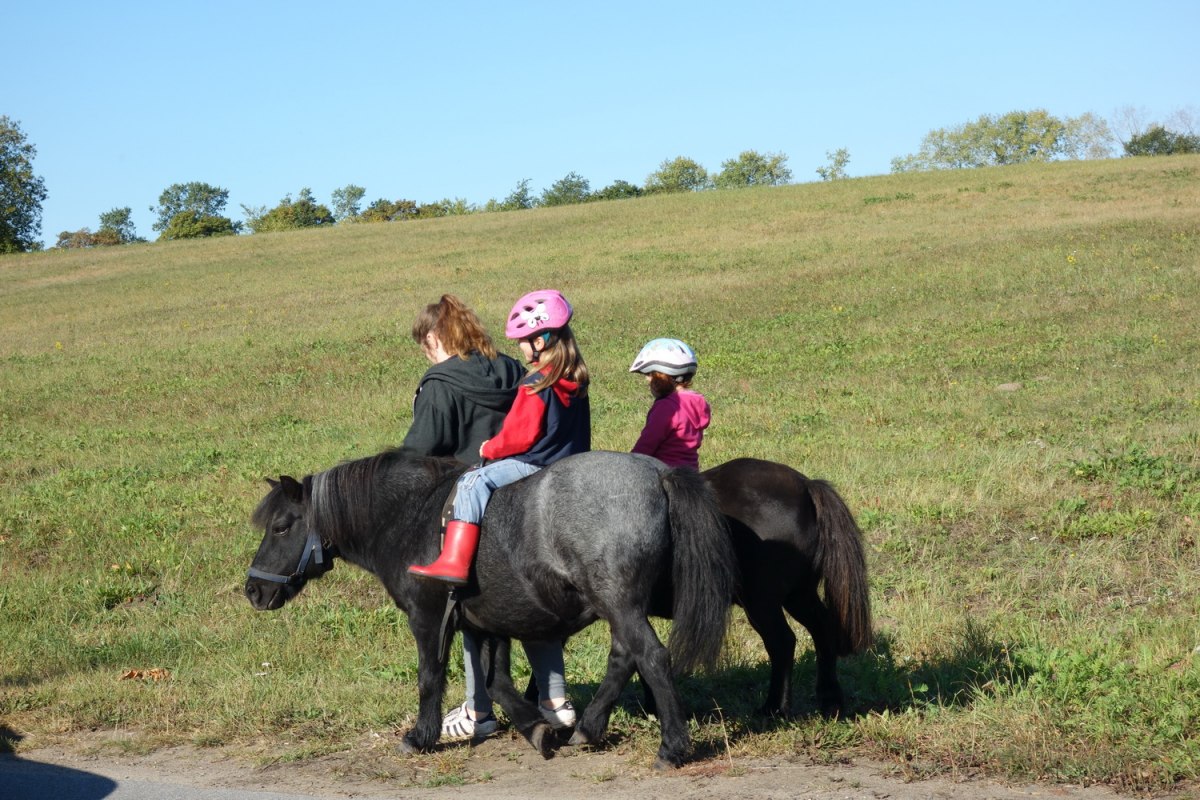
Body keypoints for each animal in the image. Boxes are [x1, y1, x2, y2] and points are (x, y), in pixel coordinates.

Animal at [243, 448, 737, 769]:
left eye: (281, 526)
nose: (253, 590)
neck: (411, 515)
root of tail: (658, 474)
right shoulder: (482, 623)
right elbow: (495, 682)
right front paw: (537, 727)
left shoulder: (428, 620)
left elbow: (430, 678)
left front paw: (420, 737)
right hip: (619, 606)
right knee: (624, 658)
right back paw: (587, 728)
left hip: (619, 602)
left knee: (651, 657)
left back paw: (672, 748)